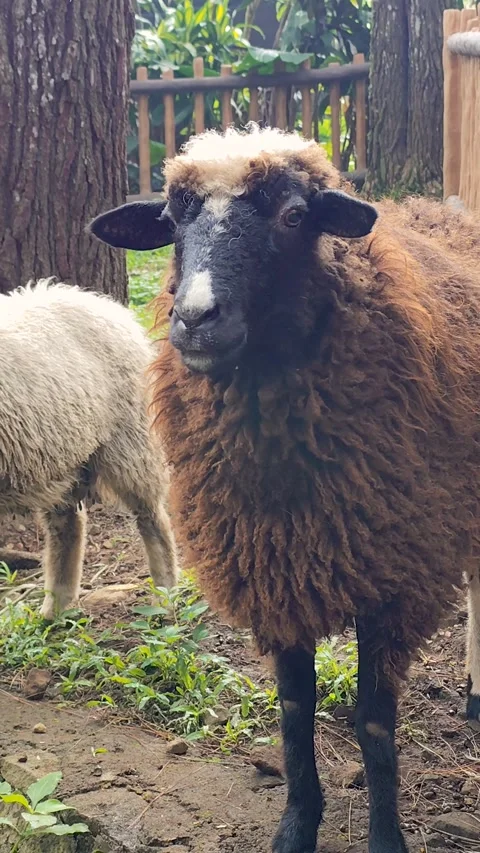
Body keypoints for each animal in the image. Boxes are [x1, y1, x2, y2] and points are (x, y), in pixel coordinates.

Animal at [0, 279, 178, 619]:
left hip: (129, 438)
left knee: (153, 517)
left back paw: (165, 594)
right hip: (59, 457)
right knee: (68, 525)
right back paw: (55, 606)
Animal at [89, 124, 480, 853]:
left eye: (294, 216)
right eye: (173, 220)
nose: (195, 318)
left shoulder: (395, 571)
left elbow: (374, 721)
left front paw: (386, 837)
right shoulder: (275, 567)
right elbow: (296, 712)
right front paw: (297, 825)